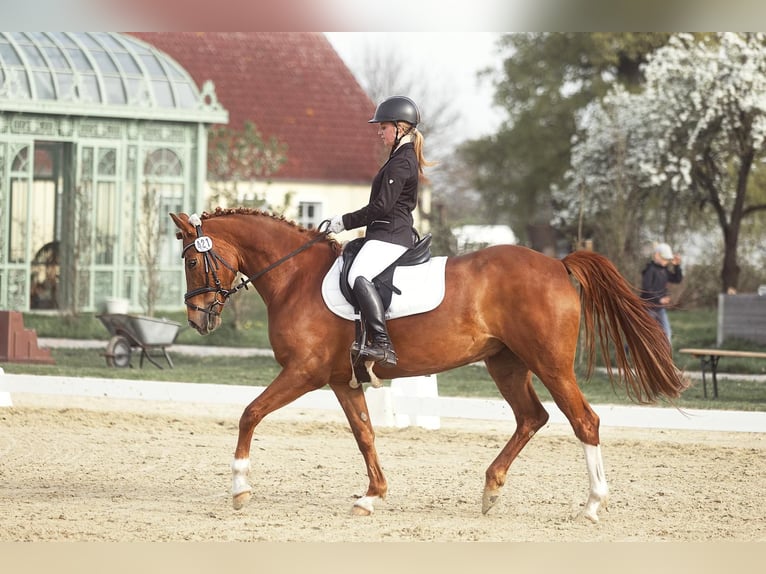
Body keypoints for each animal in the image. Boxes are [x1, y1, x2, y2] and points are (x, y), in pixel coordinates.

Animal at [170, 208, 688, 523]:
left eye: (192, 263)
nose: (198, 318)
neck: (297, 277)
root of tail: (558, 264)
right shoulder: (342, 381)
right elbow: (365, 435)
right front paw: (371, 496)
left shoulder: (304, 373)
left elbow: (249, 413)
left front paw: (239, 488)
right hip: (506, 364)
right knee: (532, 417)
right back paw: (491, 490)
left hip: (551, 364)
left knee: (584, 421)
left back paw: (592, 506)